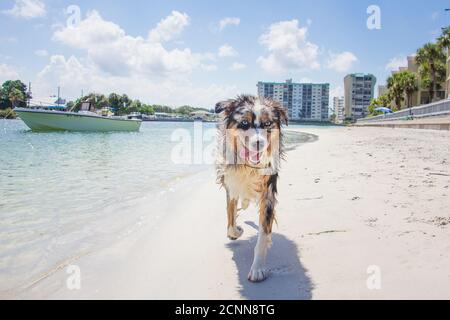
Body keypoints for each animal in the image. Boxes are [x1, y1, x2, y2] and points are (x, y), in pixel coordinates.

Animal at [215, 94, 288, 282]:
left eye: (267, 123)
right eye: (244, 123)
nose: (259, 143)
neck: (248, 166)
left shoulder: (268, 192)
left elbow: (263, 234)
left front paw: (258, 268)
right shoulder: (231, 184)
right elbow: (231, 218)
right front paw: (236, 232)